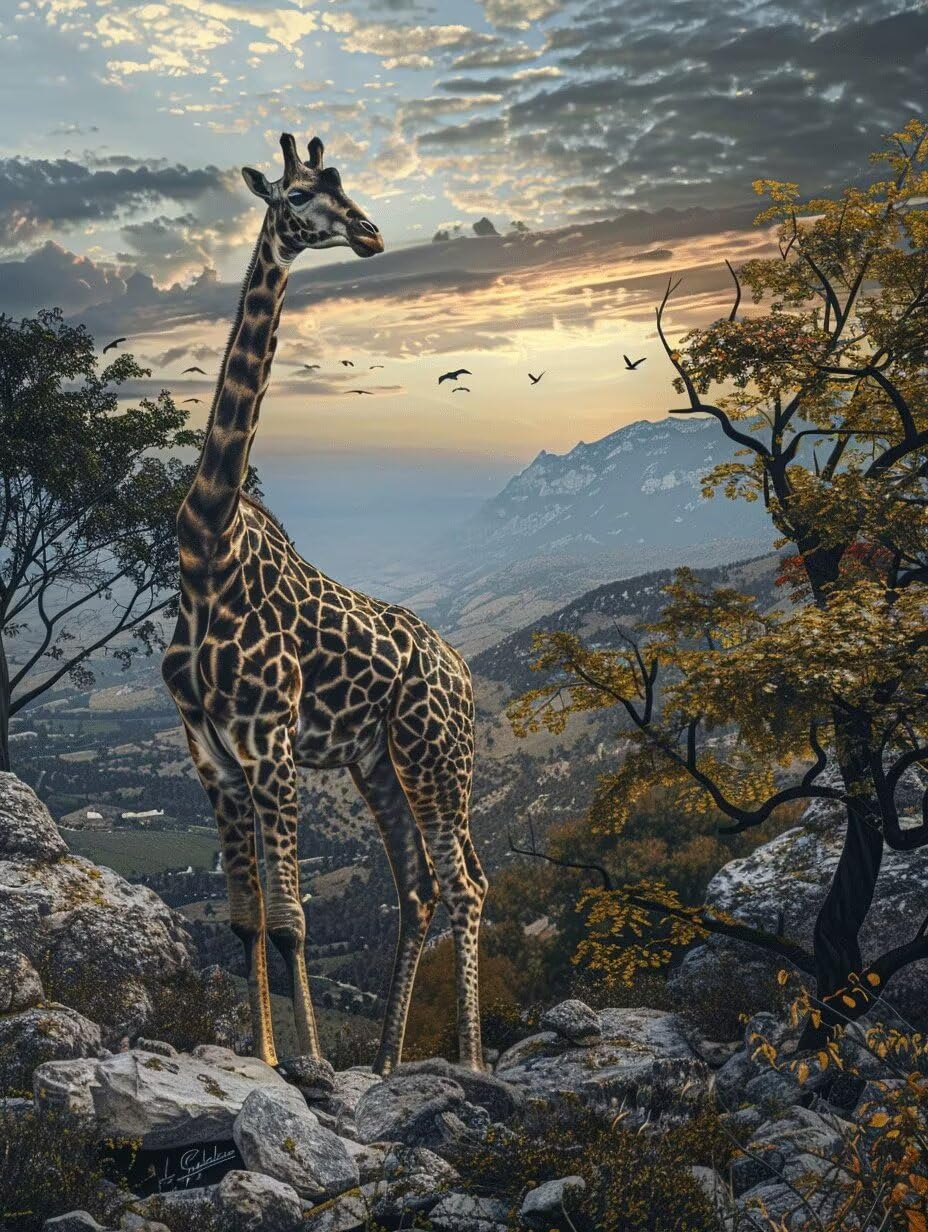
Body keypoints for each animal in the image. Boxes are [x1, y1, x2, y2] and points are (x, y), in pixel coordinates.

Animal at [162, 133, 487, 1076]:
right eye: (302, 193)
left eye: (345, 186)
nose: (373, 233)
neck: (204, 547)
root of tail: (464, 674)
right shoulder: (212, 756)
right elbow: (245, 921)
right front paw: (265, 1058)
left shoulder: (270, 744)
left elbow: (293, 922)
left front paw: (303, 1064)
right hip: (378, 763)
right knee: (419, 890)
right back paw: (384, 1062)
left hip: (436, 758)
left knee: (465, 885)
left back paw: (472, 1062)